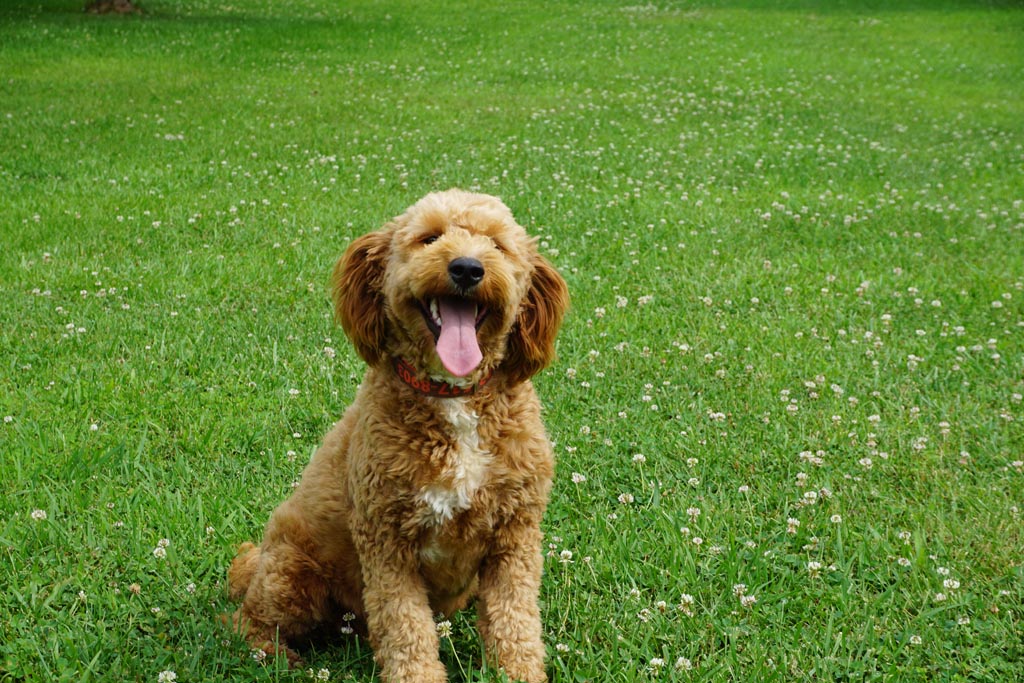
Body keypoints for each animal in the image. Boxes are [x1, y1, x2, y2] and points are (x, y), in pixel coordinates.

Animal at [225, 188, 573, 683]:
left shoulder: (514, 538)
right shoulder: (388, 545)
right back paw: (273, 654)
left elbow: (515, 622)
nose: (467, 267)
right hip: (292, 575)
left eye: (496, 244)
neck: (453, 394)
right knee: (244, 620)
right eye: (429, 238)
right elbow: (406, 629)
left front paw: (518, 672)